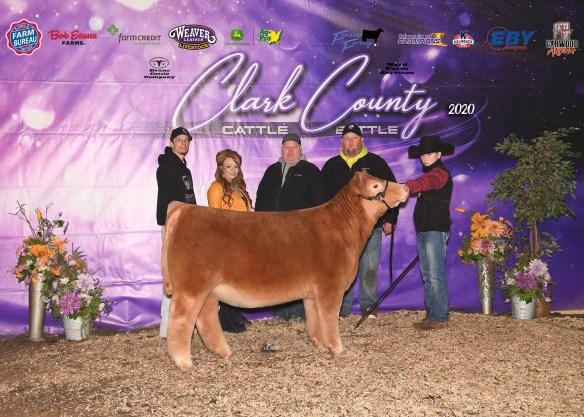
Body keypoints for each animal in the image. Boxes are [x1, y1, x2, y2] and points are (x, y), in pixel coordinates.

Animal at [162, 171, 409, 371]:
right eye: (375, 186)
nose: (406, 187)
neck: (343, 227)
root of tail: (185, 208)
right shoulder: (331, 285)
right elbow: (329, 317)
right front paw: (337, 348)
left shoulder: (312, 292)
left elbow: (314, 318)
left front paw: (318, 344)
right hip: (191, 288)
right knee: (181, 320)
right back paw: (184, 362)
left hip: (209, 289)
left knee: (206, 318)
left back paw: (223, 352)